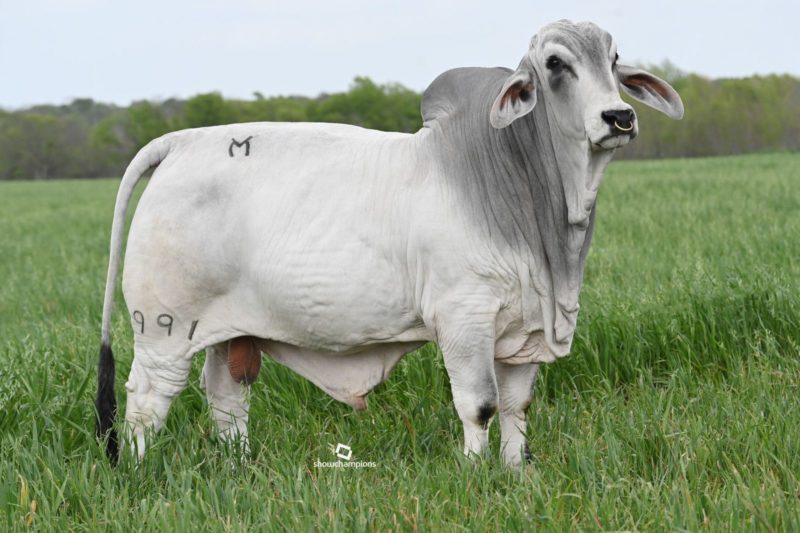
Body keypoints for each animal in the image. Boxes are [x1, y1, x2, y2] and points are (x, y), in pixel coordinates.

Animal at [95, 20, 683, 466]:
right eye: (556, 63)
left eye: (614, 59)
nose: (619, 117)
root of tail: (183, 141)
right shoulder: (464, 319)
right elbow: (479, 405)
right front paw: (475, 473)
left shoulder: (525, 329)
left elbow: (518, 408)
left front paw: (517, 471)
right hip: (165, 328)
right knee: (146, 400)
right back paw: (142, 470)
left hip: (230, 331)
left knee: (226, 396)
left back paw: (241, 465)